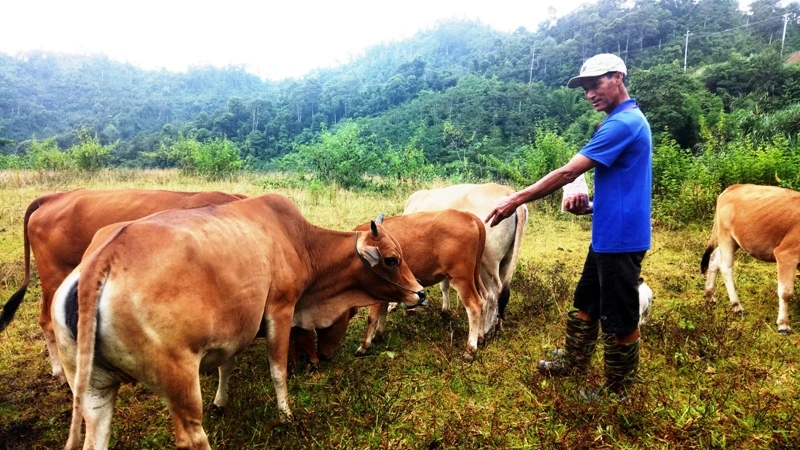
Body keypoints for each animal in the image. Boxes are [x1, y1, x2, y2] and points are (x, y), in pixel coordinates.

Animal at [50, 194, 424, 450]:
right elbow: (278, 370)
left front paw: (222, 401)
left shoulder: (233, 329)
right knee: (191, 437)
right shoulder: (280, 309)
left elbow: (226, 366)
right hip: (179, 381)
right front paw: (286, 415)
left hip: (94, 391)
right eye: (392, 259)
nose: (420, 293)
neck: (300, 241)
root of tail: (102, 260)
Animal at [290, 209, 484, 364]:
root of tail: (468, 216)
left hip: (462, 278)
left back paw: (470, 349)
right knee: (486, 300)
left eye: (327, 326)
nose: (322, 356)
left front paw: (364, 345)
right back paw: (481, 335)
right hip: (475, 276)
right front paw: (379, 334)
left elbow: (373, 317)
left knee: (475, 306)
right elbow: (382, 313)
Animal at [404, 181, 528, 340]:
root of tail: (508, 192)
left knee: (492, 294)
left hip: (487, 263)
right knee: (501, 293)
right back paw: (498, 326)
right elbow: (444, 285)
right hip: (506, 260)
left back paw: (484, 332)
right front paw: (445, 310)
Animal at [700, 183, 800, 334]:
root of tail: (734, 187)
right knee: (725, 267)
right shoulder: (787, 254)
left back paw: (709, 295)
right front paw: (783, 324)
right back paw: (736, 306)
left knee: (714, 258)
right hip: (726, 235)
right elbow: (786, 292)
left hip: (733, 240)